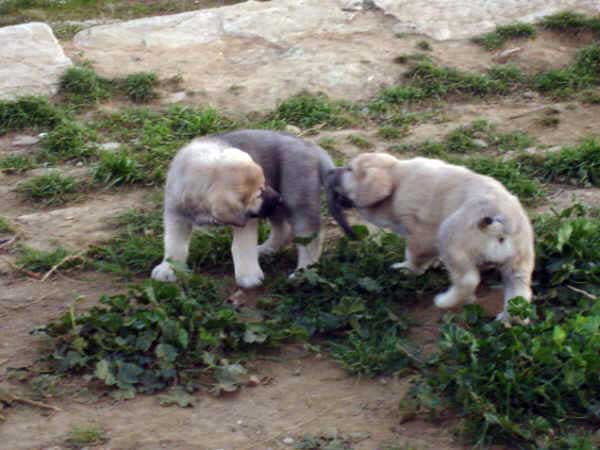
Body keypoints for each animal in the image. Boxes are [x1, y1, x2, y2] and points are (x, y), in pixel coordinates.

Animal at [152, 128, 354, 286]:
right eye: (258, 193)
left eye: (263, 183)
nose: (278, 198)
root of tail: (311, 147)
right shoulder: (176, 216)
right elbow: (174, 245)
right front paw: (169, 267)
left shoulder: (246, 219)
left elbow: (241, 246)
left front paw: (248, 276)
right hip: (276, 209)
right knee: (283, 229)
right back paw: (266, 249)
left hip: (297, 201)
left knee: (311, 238)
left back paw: (303, 273)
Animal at [330, 155, 536, 324]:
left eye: (349, 169)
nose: (330, 171)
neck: (396, 180)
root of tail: (503, 220)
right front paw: (433, 262)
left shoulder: (421, 234)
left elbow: (414, 256)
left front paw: (406, 269)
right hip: (518, 263)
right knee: (519, 294)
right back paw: (509, 320)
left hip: (450, 236)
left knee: (468, 280)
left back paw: (446, 301)